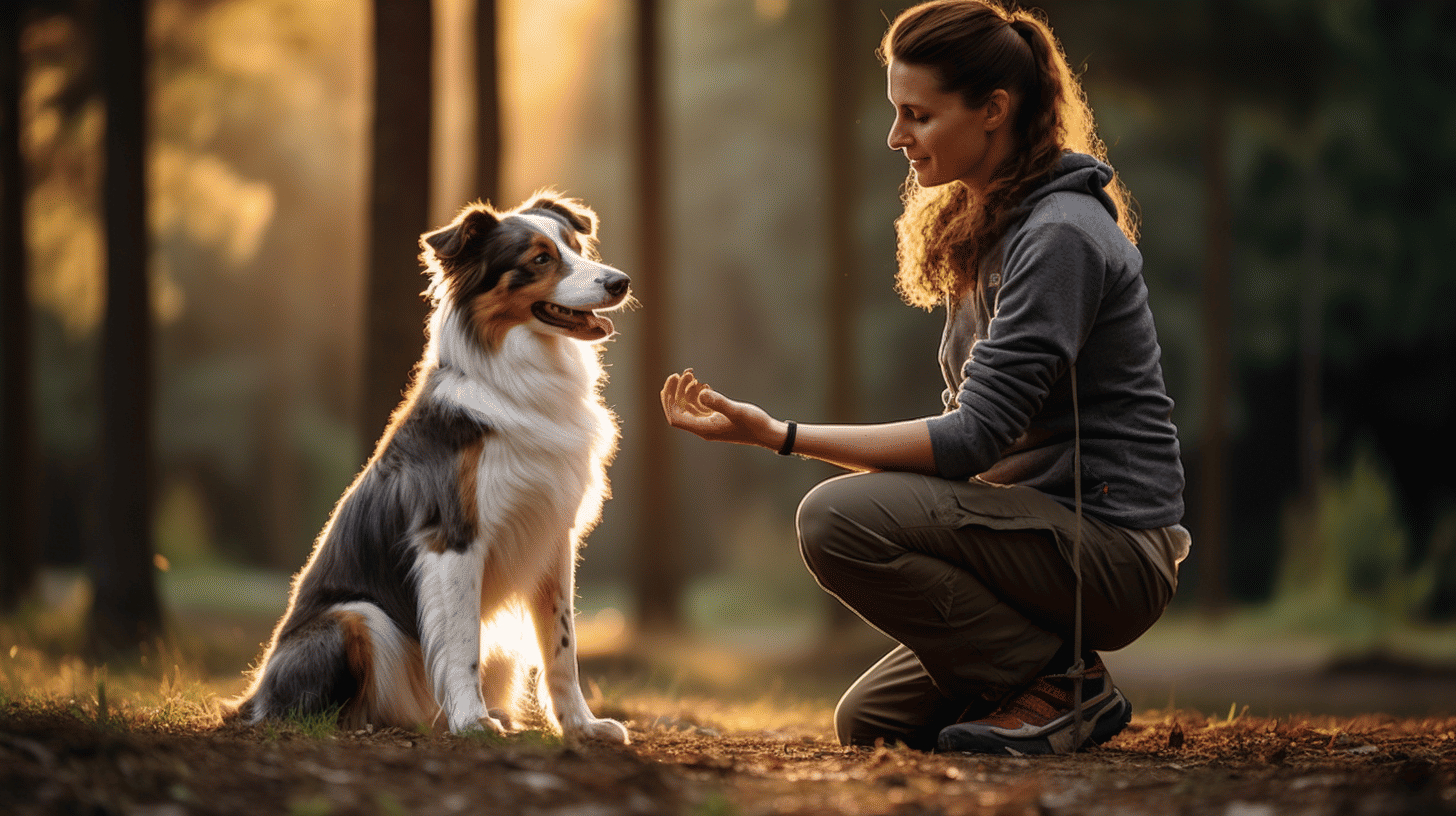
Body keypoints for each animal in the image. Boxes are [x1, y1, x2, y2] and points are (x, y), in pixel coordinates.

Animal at [230, 192, 628, 746]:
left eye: (577, 247)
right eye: (540, 259)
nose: (620, 282)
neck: (519, 376)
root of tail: (252, 696)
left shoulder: (552, 535)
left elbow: (561, 647)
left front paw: (581, 726)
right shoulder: (452, 534)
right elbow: (462, 642)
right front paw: (472, 722)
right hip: (355, 617)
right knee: (308, 708)